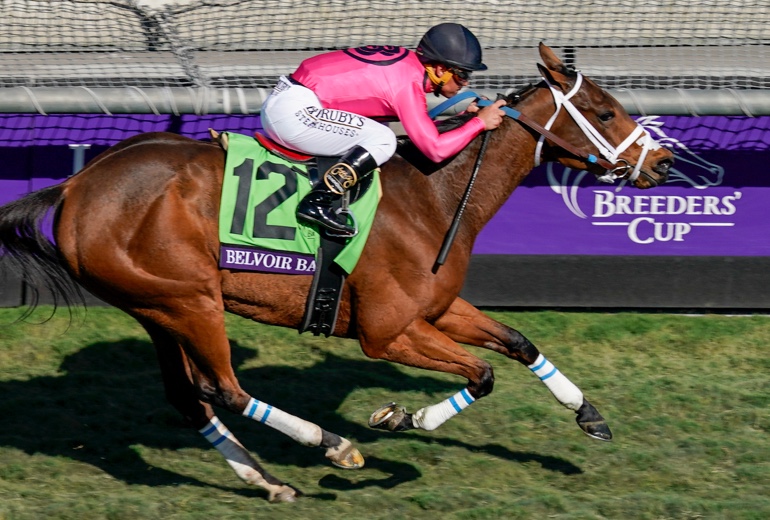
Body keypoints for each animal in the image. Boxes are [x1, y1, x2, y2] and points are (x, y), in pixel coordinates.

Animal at [0, 43, 673, 502]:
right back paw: (331, 446)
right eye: (605, 112)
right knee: (224, 389)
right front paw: (402, 418)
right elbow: (481, 373)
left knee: (190, 398)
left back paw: (267, 480)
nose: (664, 163)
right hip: (190, 301)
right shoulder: (387, 330)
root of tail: (77, 184)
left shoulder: (435, 309)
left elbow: (517, 342)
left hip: (156, 308)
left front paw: (589, 416)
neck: (433, 195)